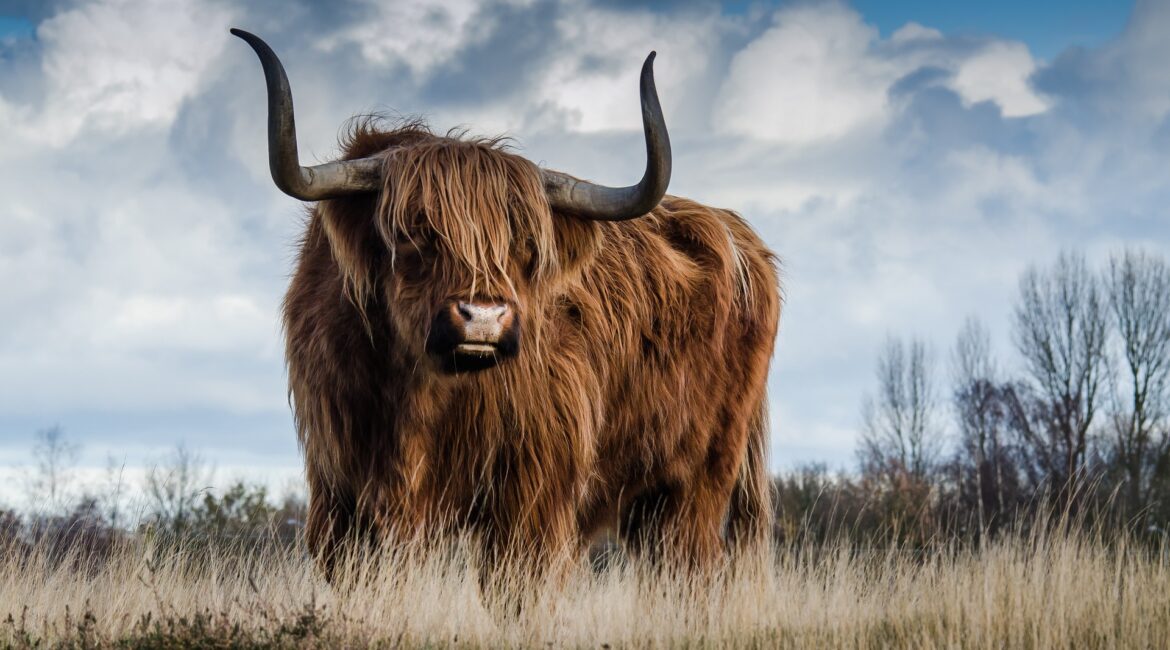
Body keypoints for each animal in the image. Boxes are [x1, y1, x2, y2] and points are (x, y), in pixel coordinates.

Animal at [231, 29, 781, 576]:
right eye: (413, 233)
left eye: (526, 245)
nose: (484, 318)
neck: (417, 397)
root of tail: (737, 233)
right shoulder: (340, 491)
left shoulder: (533, 492)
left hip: (698, 481)